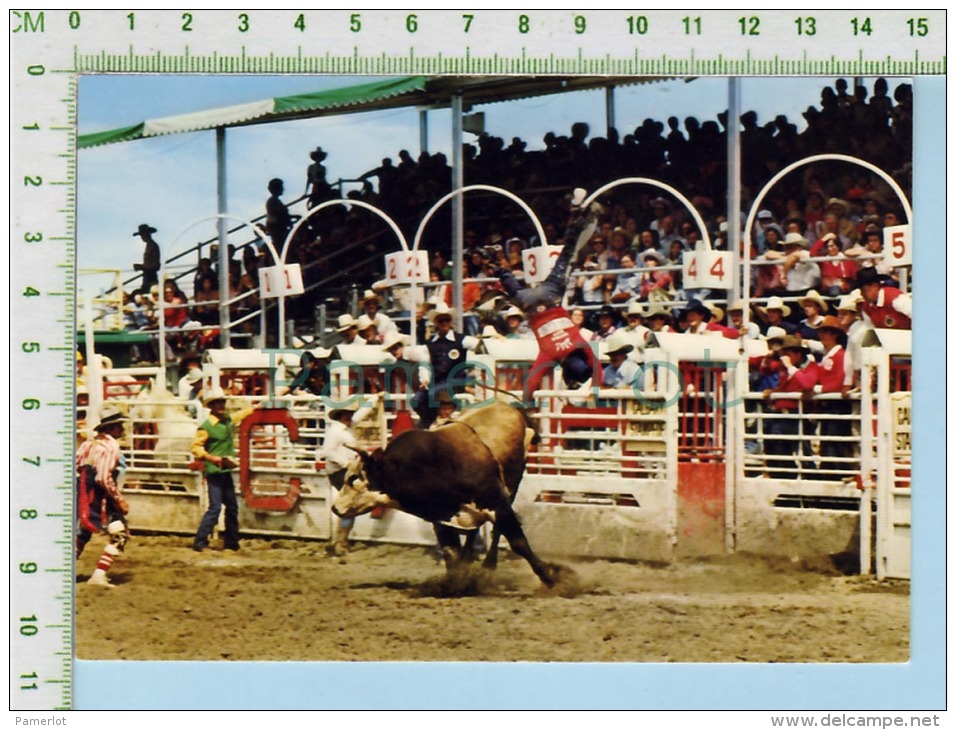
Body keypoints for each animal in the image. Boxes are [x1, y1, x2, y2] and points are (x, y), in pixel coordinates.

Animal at [334, 400, 560, 584]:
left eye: (353, 478)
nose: (335, 508)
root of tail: (509, 407)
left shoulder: (496, 501)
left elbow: (517, 541)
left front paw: (551, 577)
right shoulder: (442, 515)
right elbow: (451, 552)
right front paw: (457, 582)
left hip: (514, 482)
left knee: (496, 531)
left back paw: (488, 566)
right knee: (474, 532)